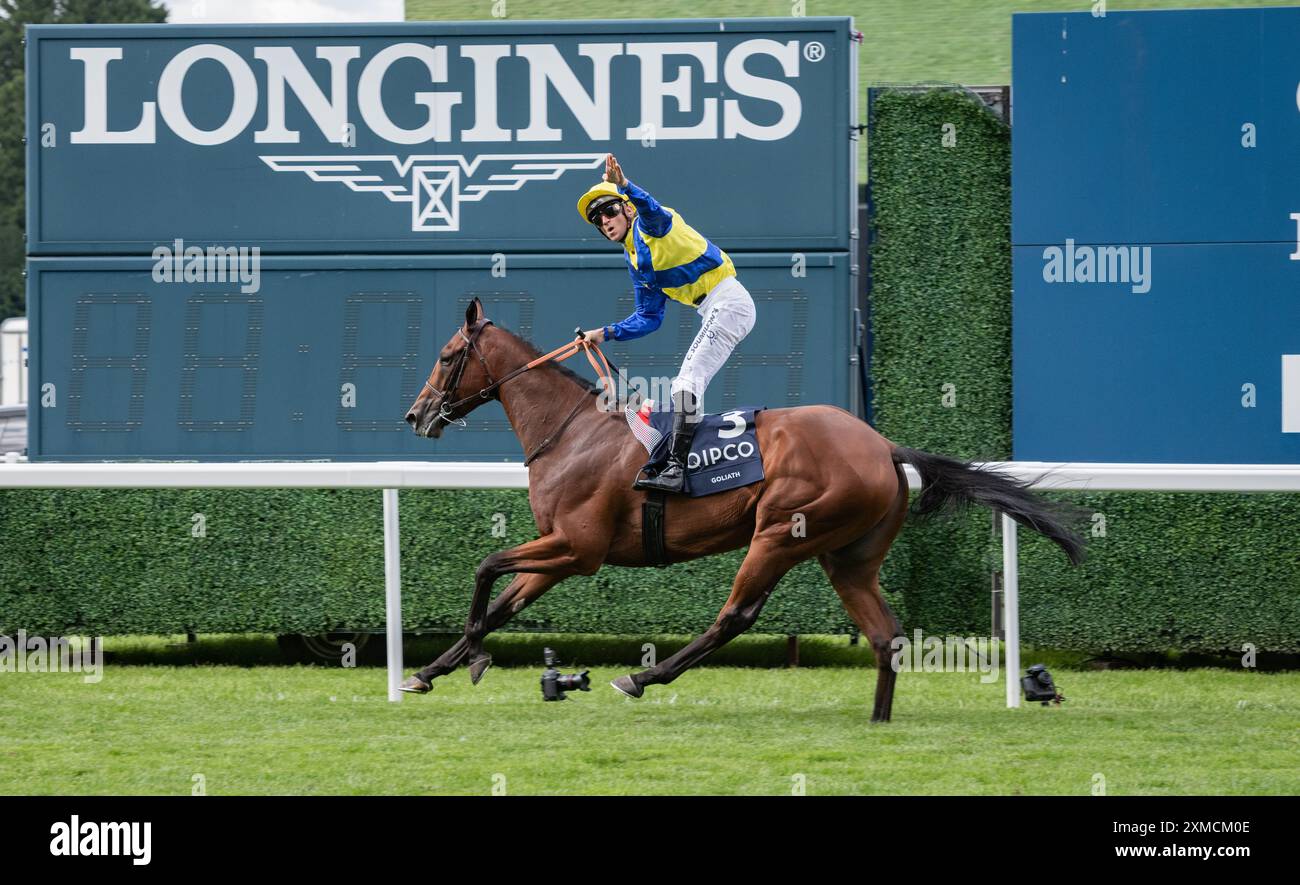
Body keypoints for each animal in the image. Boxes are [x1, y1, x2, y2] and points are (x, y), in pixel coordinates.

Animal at [400, 296, 1081, 717]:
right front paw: (427, 671)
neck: (571, 433)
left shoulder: (578, 548)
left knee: (736, 615)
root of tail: (884, 446)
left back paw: (641, 677)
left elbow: (486, 567)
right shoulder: (558, 552)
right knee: (885, 637)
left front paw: (472, 658)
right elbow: (500, 603)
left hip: (781, 532)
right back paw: (878, 721)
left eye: (445, 356)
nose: (415, 414)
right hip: (847, 557)